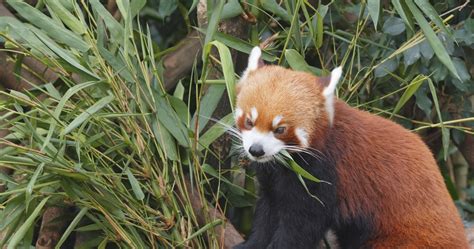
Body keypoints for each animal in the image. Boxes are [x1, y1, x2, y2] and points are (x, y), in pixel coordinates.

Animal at [232, 46, 466, 247]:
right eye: (249, 122)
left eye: (280, 129)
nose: (256, 150)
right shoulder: (272, 179)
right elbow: (268, 214)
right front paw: (250, 244)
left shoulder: (323, 174)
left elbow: (300, 227)